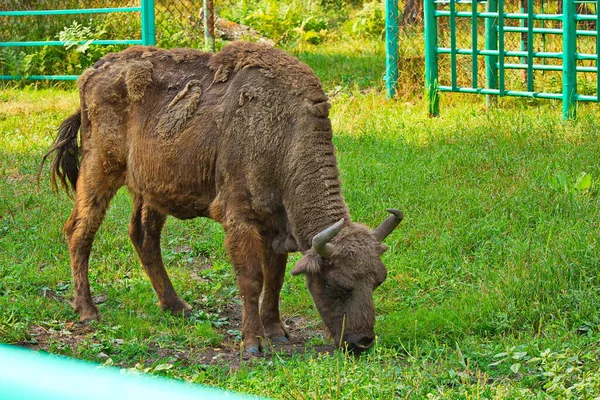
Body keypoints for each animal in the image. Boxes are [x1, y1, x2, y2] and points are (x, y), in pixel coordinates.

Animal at [44, 42, 404, 354]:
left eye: (378, 281)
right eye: (339, 285)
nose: (363, 342)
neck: (285, 136)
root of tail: (93, 71)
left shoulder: (275, 226)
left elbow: (275, 278)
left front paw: (277, 331)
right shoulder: (240, 219)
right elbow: (252, 279)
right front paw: (253, 343)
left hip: (150, 190)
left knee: (144, 237)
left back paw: (177, 307)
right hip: (100, 171)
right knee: (80, 231)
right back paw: (88, 311)